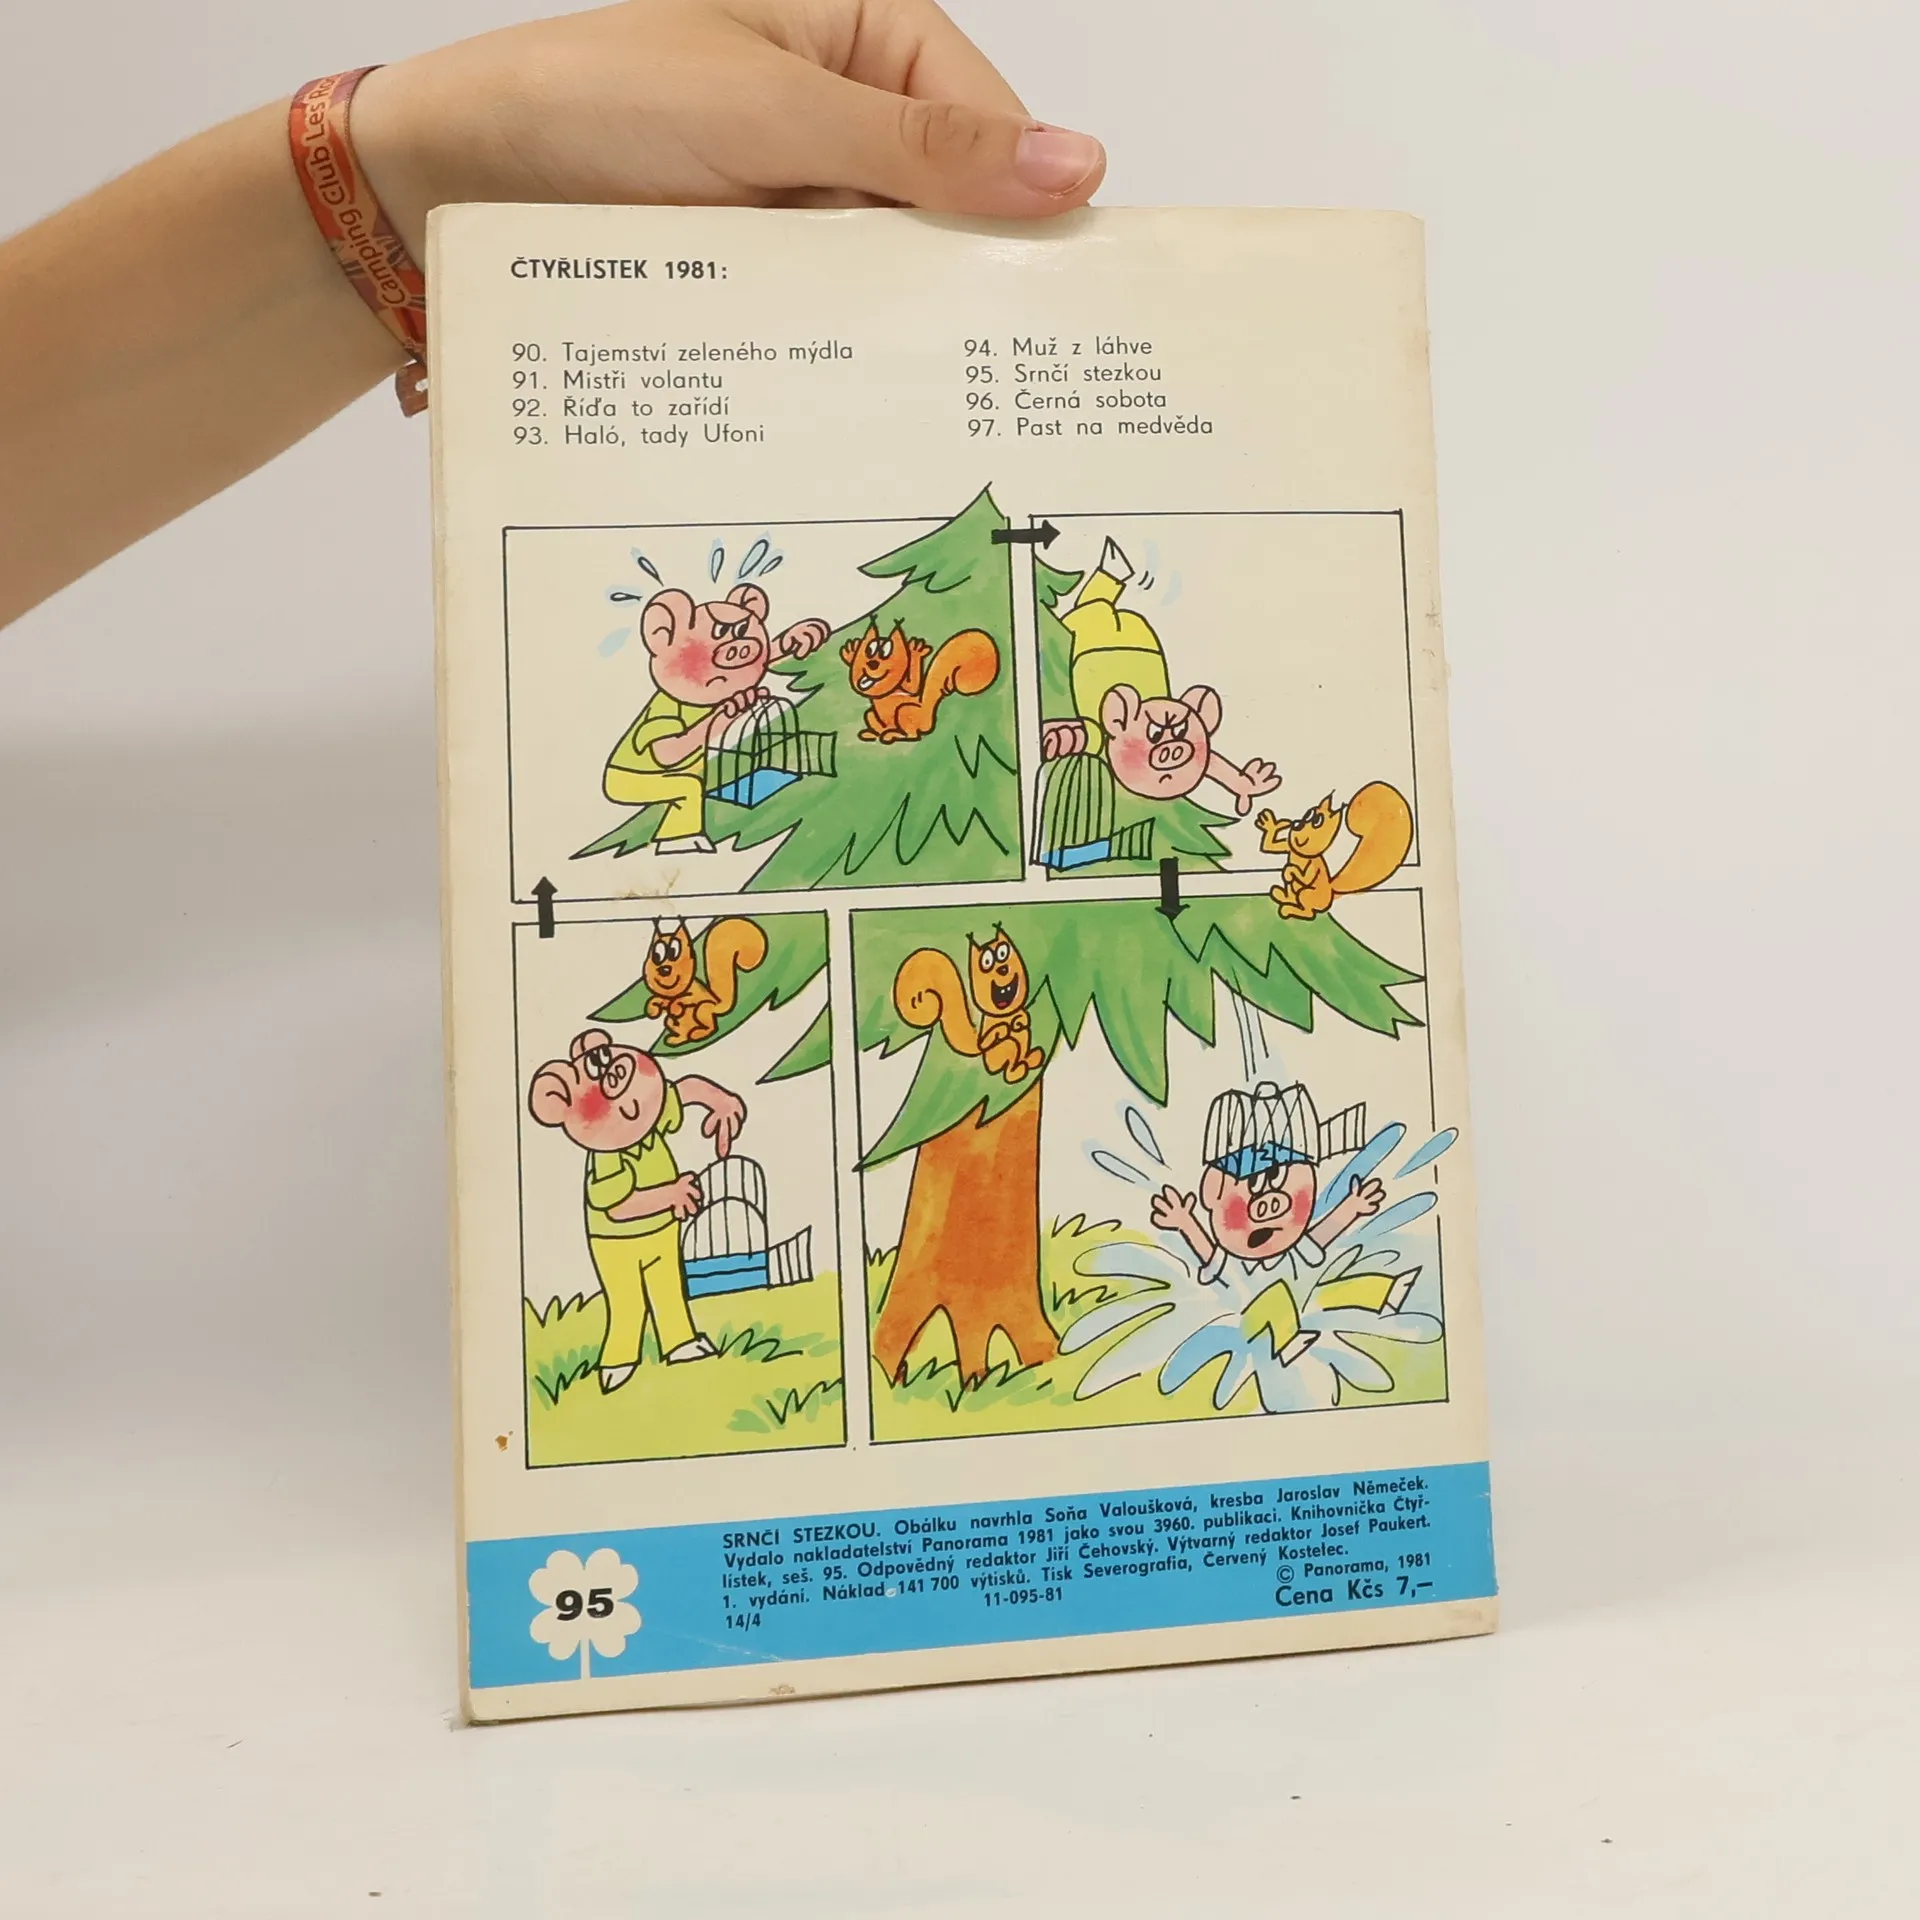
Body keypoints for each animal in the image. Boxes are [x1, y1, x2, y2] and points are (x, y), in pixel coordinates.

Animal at [643, 916, 768, 1045]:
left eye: (674, 952)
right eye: (657, 956)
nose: (664, 969)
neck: (674, 993)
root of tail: (718, 1005)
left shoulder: (695, 992)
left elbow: (688, 998)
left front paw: (675, 1006)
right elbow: (658, 999)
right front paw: (653, 1008)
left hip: (702, 1009)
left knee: (709, 1026)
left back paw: (698, 1033)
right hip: (672, 1022)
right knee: (682, 1033)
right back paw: (677, 1039)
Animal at [841, 623, 999, 744]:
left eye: (886, 652)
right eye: (869, 650)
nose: (872, 663)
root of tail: (928, 713)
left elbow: (912, 687)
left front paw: (915, 652)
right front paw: (851, 653)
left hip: (906, 710)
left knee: (912, 735)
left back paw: (895, 735)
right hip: (872, 715)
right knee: (873, 717)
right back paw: (877, 733)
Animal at [893, 927, 1045, 1085]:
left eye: (1003, 953)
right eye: (987, 962)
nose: (1003, 969)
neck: (1005, 1014)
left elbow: (1023, 1018)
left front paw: (1020, 1021)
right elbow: (986, 1041)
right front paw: (1002, 1029)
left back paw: (1033, 1057)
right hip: (1002, 1052)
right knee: (1010, 1049)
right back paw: (1015, 1072)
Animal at [1255, 782, 1414, 920]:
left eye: (1317, 821)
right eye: (1308, 814)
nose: (1297, 824)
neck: (1301, 853)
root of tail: (1331, 892)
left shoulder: (1313, 865)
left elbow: (1305, 877)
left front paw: (1289, 871)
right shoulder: (1289, 846)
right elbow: (1270, 847)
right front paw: (1271, 824)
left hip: (1308, 894)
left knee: (1308, 912)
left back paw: (1289, 909)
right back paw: (1282, 895)